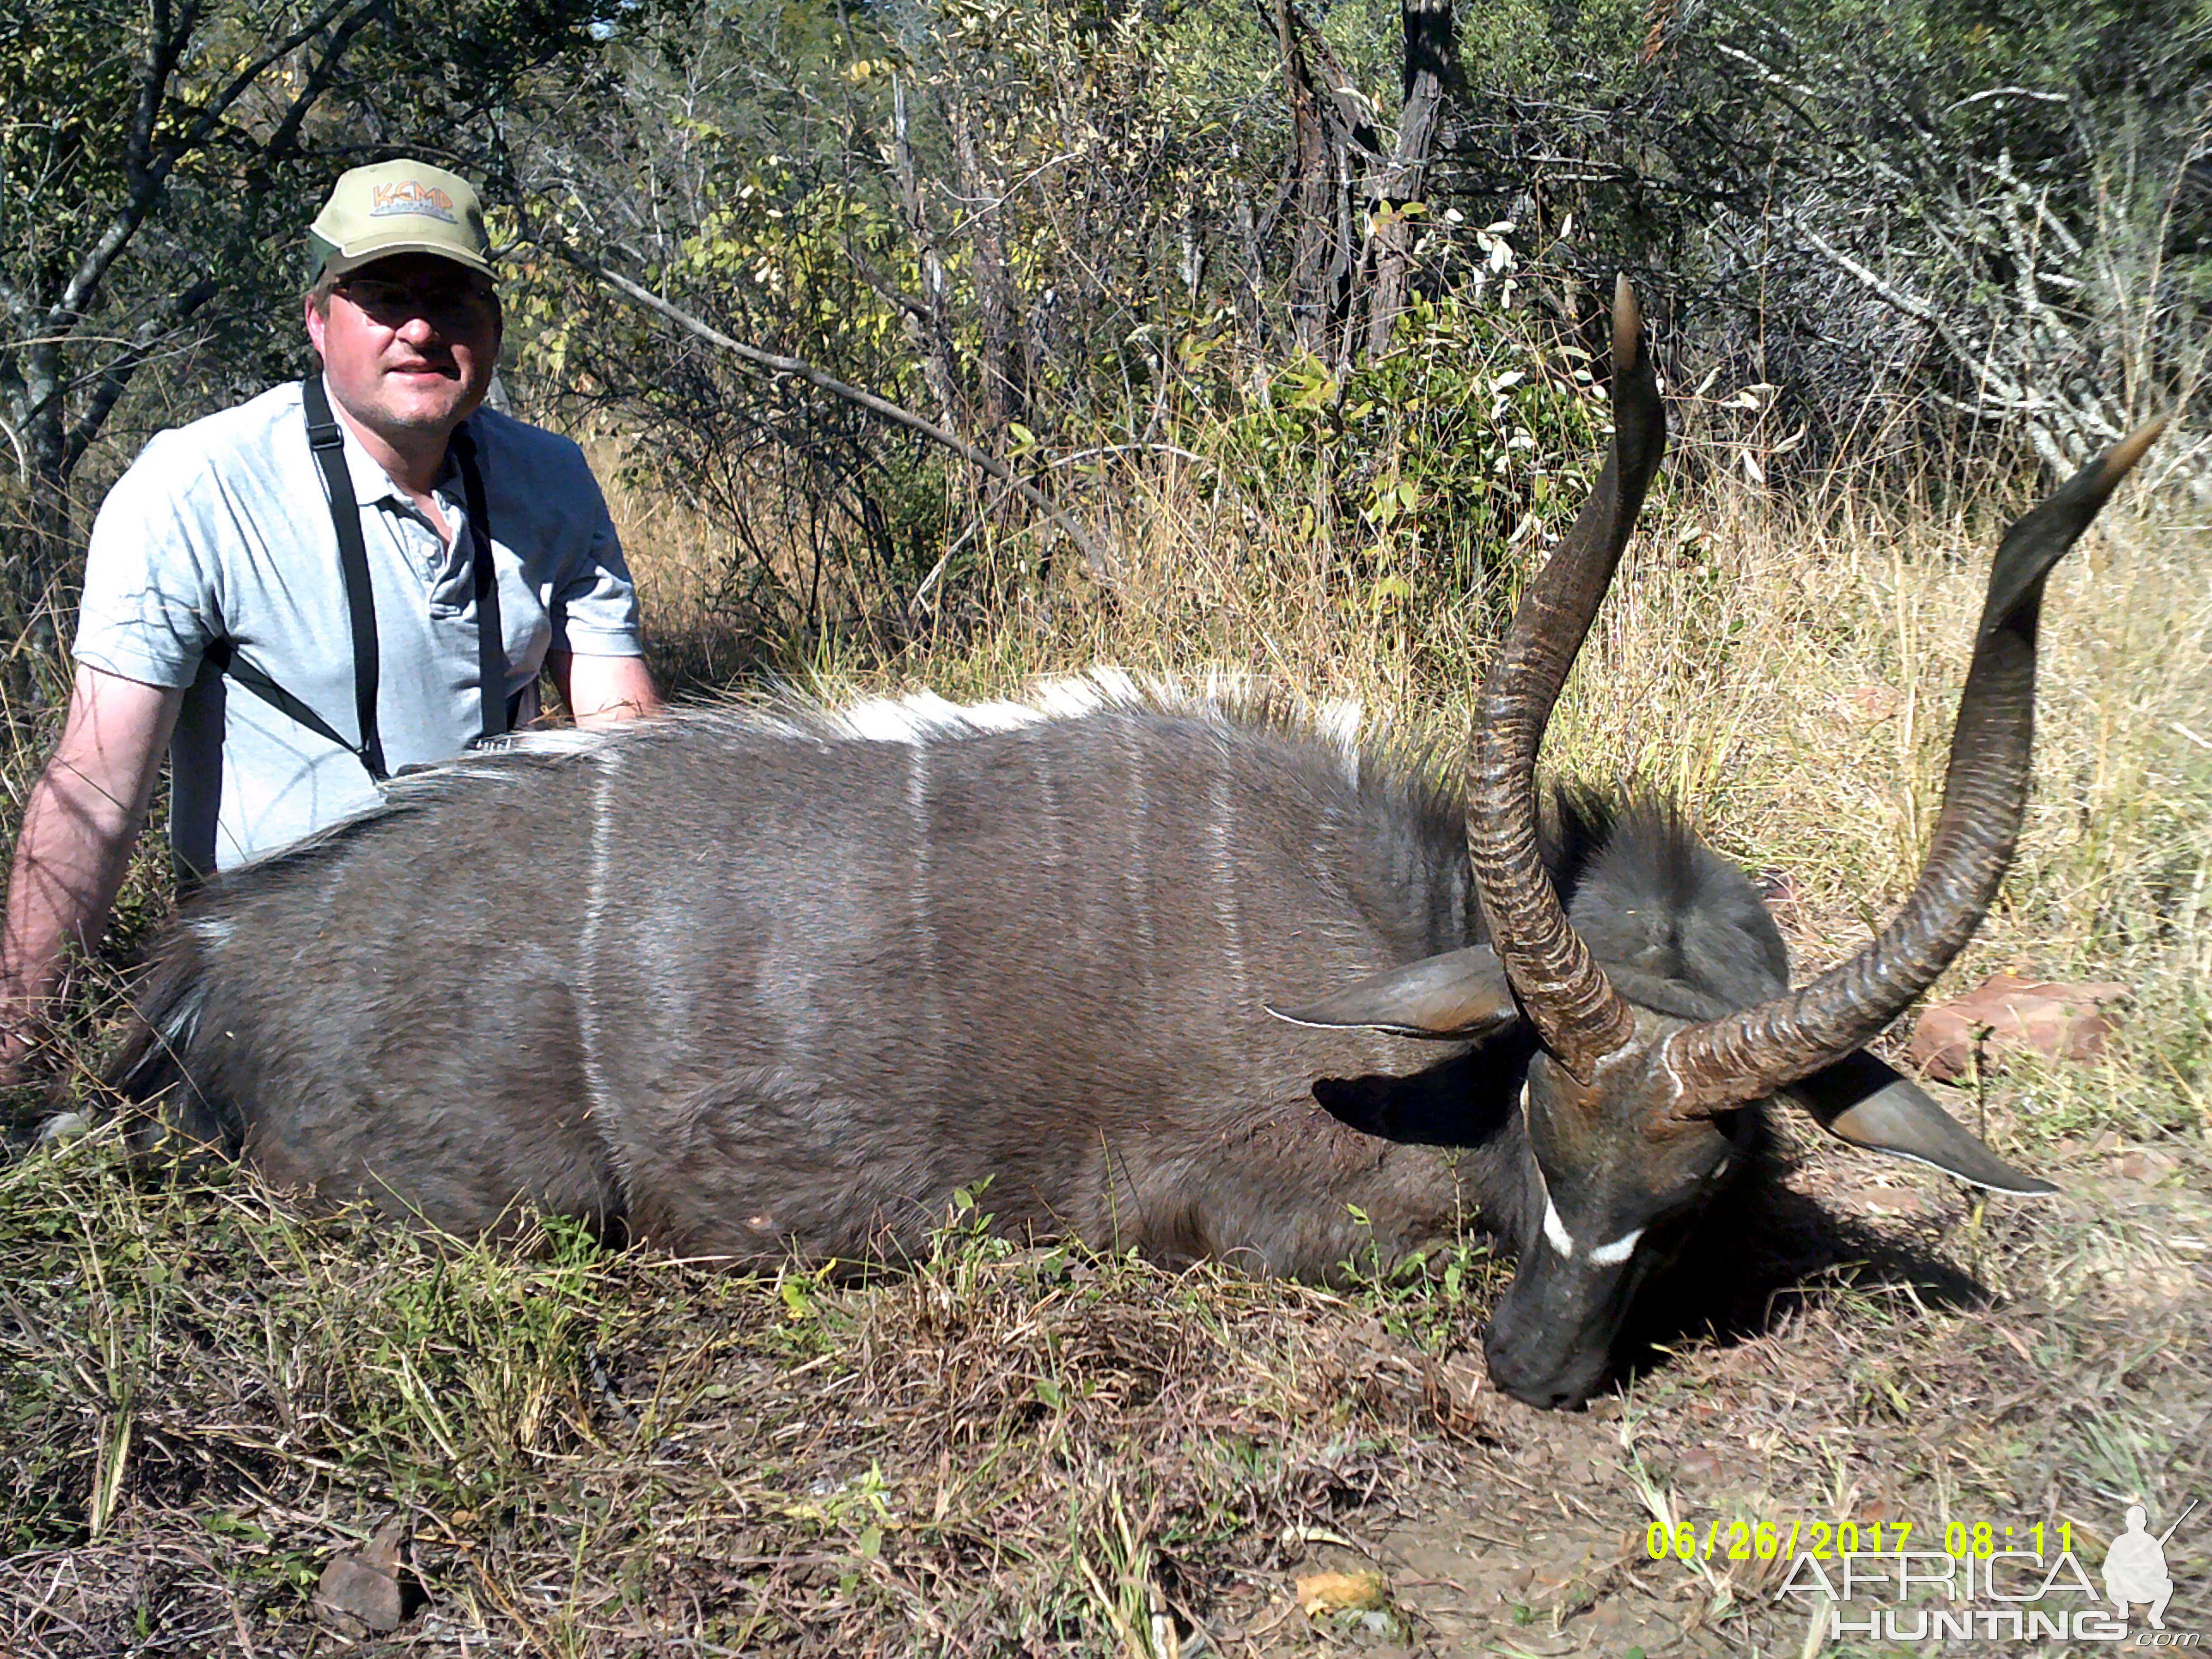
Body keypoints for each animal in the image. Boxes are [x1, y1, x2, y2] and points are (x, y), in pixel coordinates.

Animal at [112, 283, 2150, 1406]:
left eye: (1697, 1183)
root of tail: (219, 957)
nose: (1534, 1367)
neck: (1388, 948)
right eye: (1537, 1125)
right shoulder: (1254, 1211)